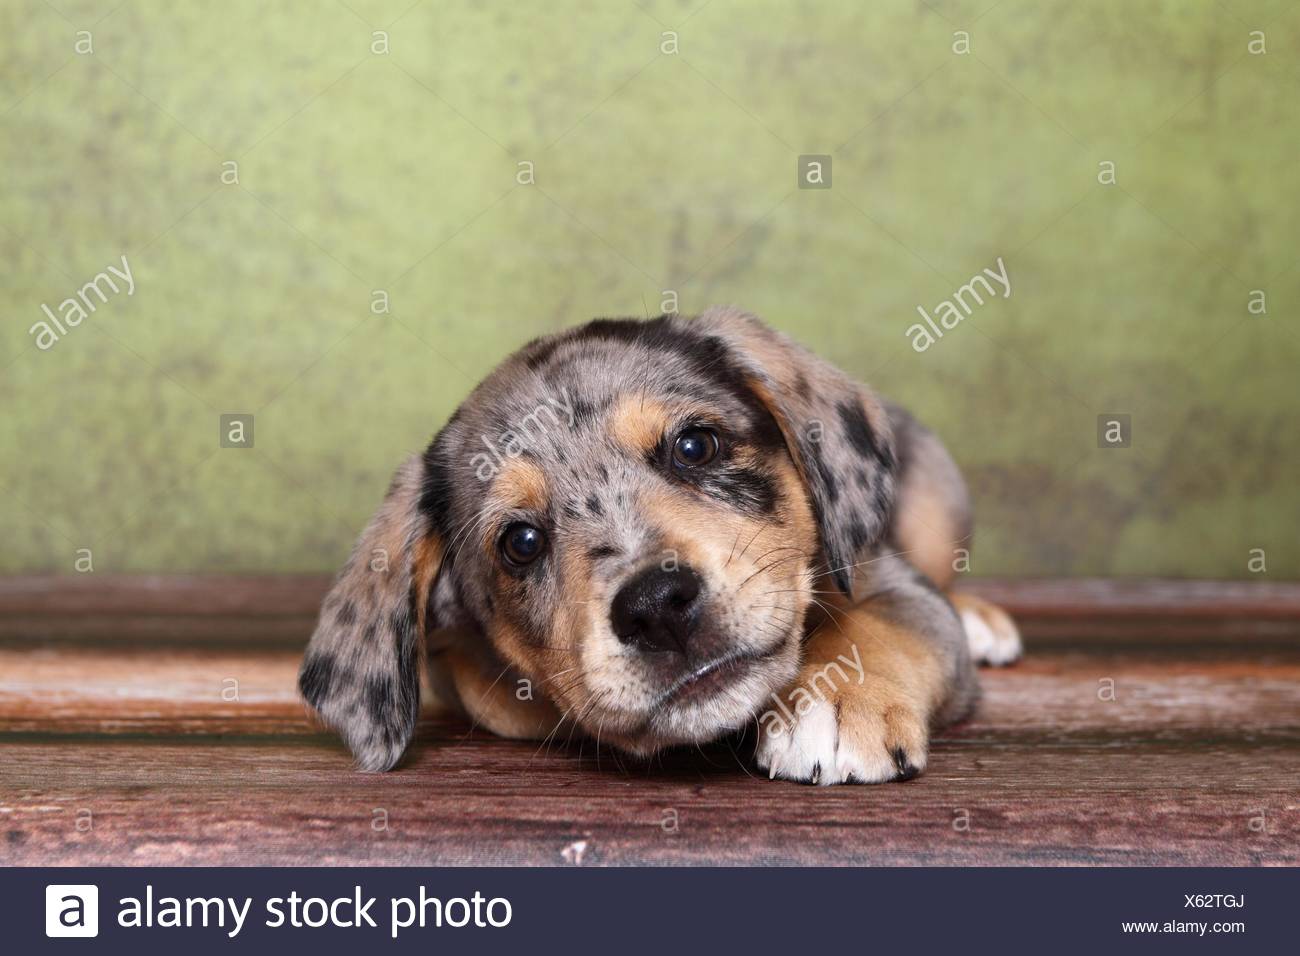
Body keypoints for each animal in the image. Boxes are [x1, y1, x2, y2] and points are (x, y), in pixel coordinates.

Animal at [299, 308, 1019, 785]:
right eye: (521, 542)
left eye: (694, 446)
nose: (657, 607)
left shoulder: (891, 583)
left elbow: (879, 627)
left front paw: (837, 702)